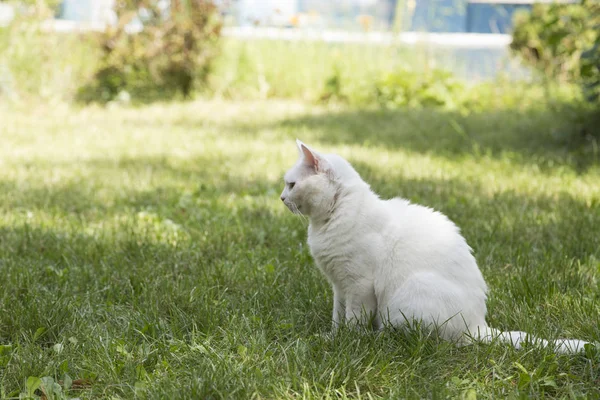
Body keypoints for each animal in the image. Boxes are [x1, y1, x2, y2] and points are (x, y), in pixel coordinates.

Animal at [282, 140, 592, 354]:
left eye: (291, 184)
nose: (281, 198)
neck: (326, 222)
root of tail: (478, 325)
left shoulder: (358, 285)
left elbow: (354, 319)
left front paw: (349, 342)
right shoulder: (339, 286)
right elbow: (338, 317)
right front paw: (333, 338)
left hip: (404, 301)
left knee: (422, 338)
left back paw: (376, 338)